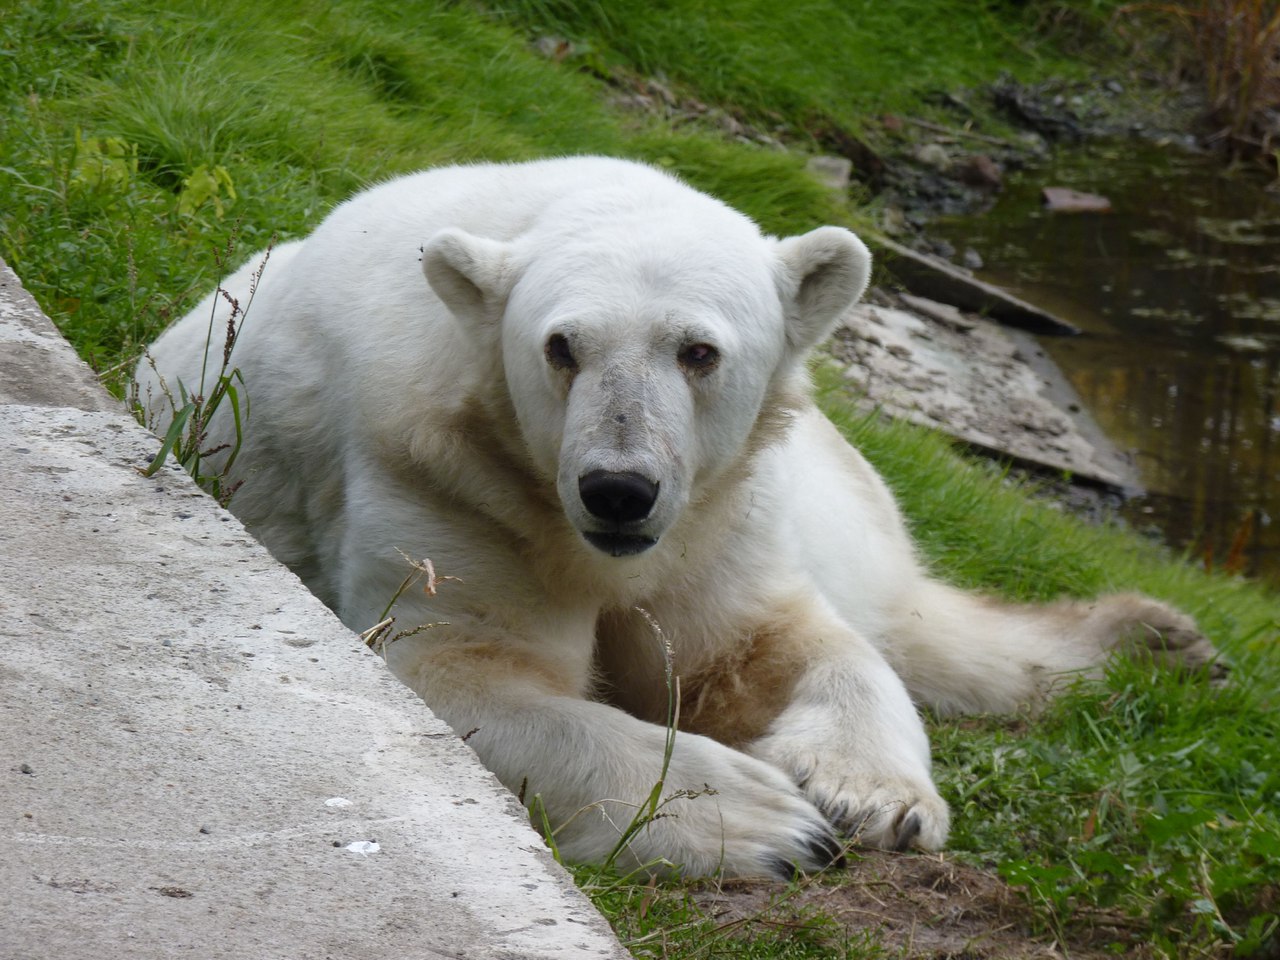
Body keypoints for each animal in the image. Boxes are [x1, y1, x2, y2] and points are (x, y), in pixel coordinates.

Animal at [135, 156, 1223, 880]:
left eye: (698, 351)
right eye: (560, 346)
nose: (617, 489)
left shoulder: (718, 510)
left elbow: (764, 644)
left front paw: (867, 796)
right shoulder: (443, 476)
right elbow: (460, 665)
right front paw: (765, 821)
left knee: (910, 623)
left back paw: (1161, 642)